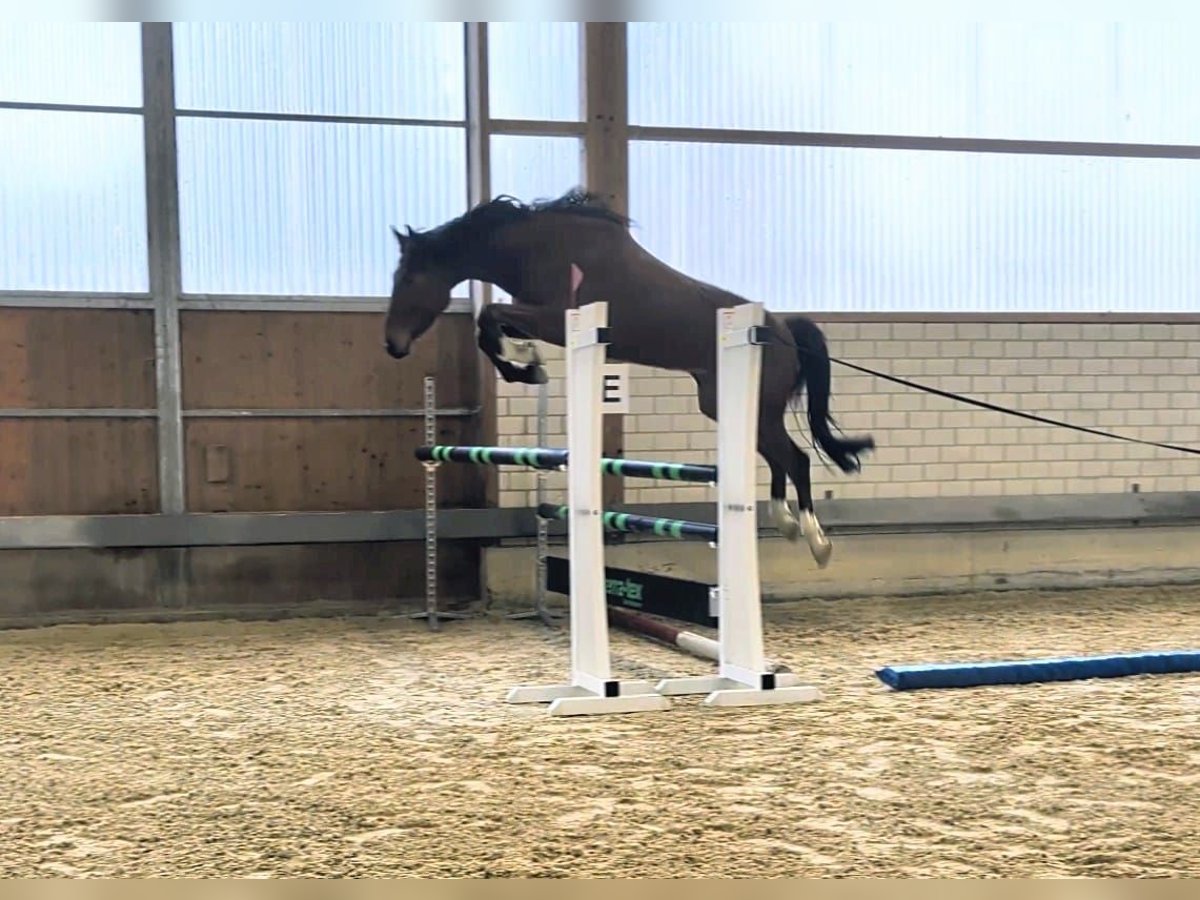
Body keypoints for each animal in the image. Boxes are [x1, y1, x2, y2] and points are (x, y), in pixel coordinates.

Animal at [383, 188, 874, 567]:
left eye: (409, 279)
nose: (393, 345)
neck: (541, 247)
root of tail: (783, 331)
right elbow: (491, 327)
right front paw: (526, 362)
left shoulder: (556, 318)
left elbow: (489, 317)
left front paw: (524, 362)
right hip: (726, 404)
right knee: (779, 459)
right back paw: (785, 522)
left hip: (755, 408)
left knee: (796, 460)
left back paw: (816, 540)